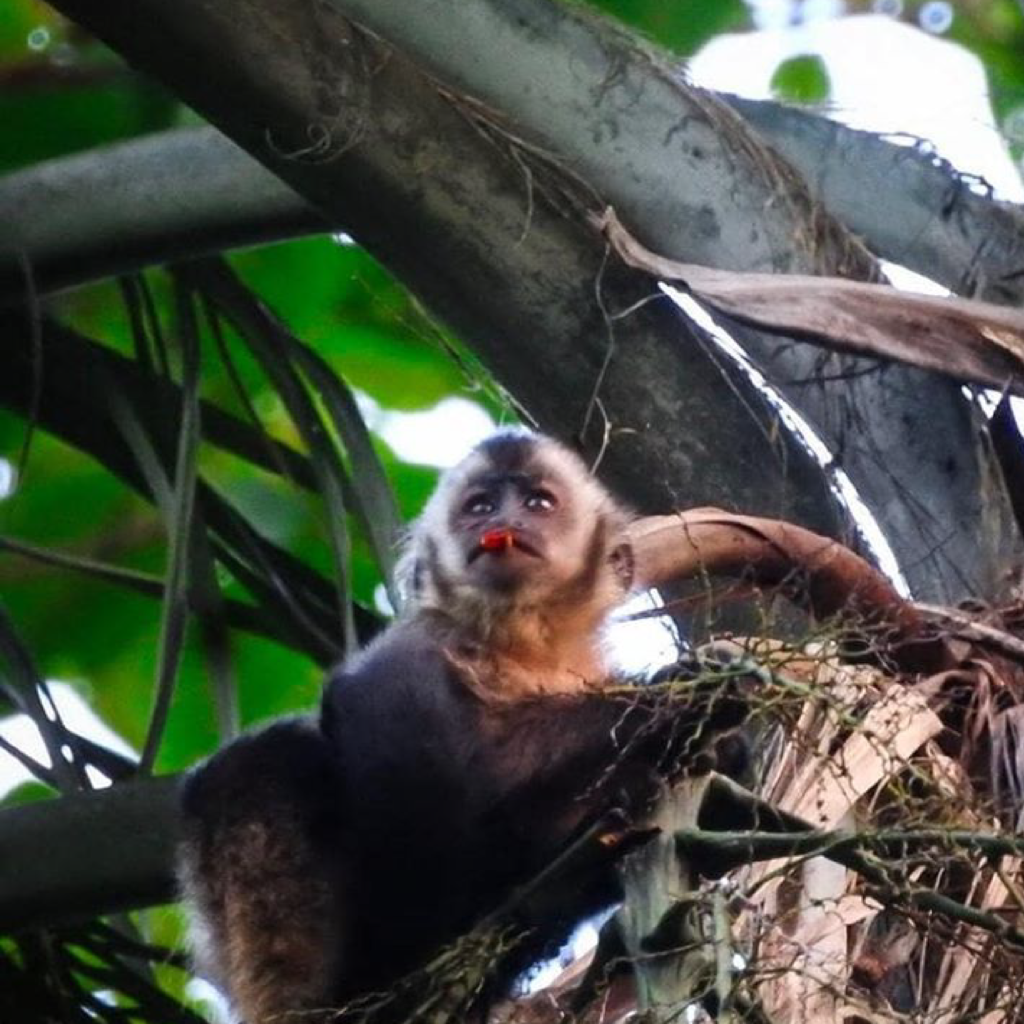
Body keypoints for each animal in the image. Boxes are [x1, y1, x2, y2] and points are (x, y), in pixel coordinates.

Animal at [178, 429, 749, 1024]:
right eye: (480, 506)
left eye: (537, 502)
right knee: (262, 763)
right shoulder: (414, 649)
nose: (501, 522)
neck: (524, 647)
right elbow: (440, 758)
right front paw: (681, 696)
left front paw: (716, 750)